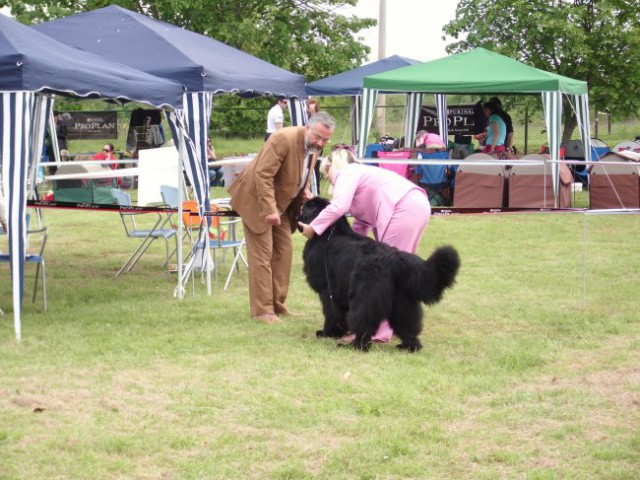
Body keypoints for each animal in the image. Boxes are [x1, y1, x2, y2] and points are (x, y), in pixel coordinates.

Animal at [298, 196, 460, 352]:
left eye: (303, 208)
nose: (297, 216)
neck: (328, 233)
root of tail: (394, 258)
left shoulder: (328, 291)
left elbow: (330, 313)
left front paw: (326, 333)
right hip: (402, 301)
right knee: (407, 324)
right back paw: (408, 346)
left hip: (365, 297)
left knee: (364, 322)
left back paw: (355, 345)